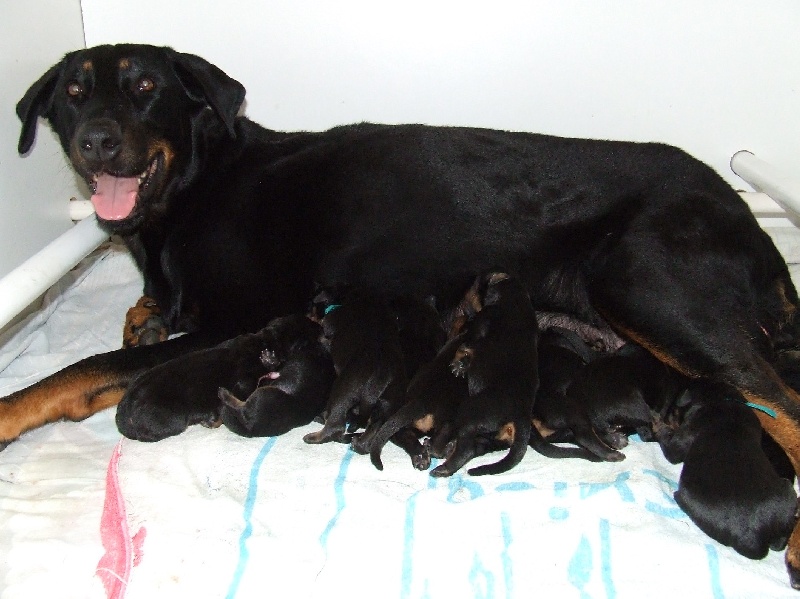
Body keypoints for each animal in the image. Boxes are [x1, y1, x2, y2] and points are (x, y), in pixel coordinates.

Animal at [652, 384, 796, 564]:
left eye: (676, 412)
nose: (669, 415)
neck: (721, 400)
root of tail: (753, 536)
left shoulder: (687, 432)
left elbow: (671, 447)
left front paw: (658, 423)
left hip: (689, 500)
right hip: (788, 494)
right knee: (780, 542)